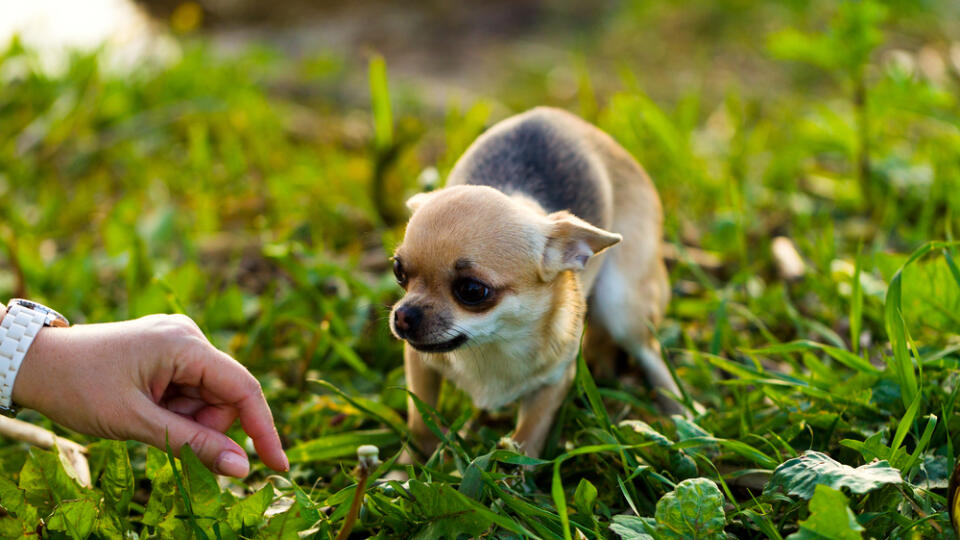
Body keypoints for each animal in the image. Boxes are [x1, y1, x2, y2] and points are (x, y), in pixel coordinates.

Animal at [386, 105, 680, 456]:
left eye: (472, 290)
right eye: (399, 271)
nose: (403, 315)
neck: (494, 344)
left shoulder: (554, 381)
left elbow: (528, 436)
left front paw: (512, 467)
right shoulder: (420, 363)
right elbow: (420, 421)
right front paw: (413, 461)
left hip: (622, 304)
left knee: (649, 351)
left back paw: (679, 412)